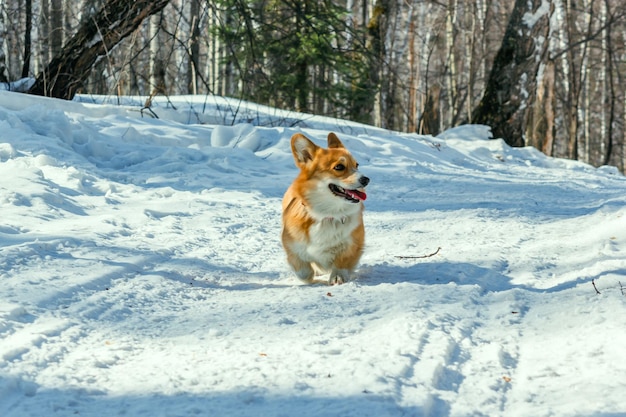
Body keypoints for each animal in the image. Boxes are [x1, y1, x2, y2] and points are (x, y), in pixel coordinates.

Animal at [282, 132, 368, 284]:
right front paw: (310, 276)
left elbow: (342, 262)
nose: (366, 179)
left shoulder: (353, 243)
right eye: (339, 167)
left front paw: (337, 276)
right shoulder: (291, 245)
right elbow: (303, 271)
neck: (326, 214)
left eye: (356, 165)